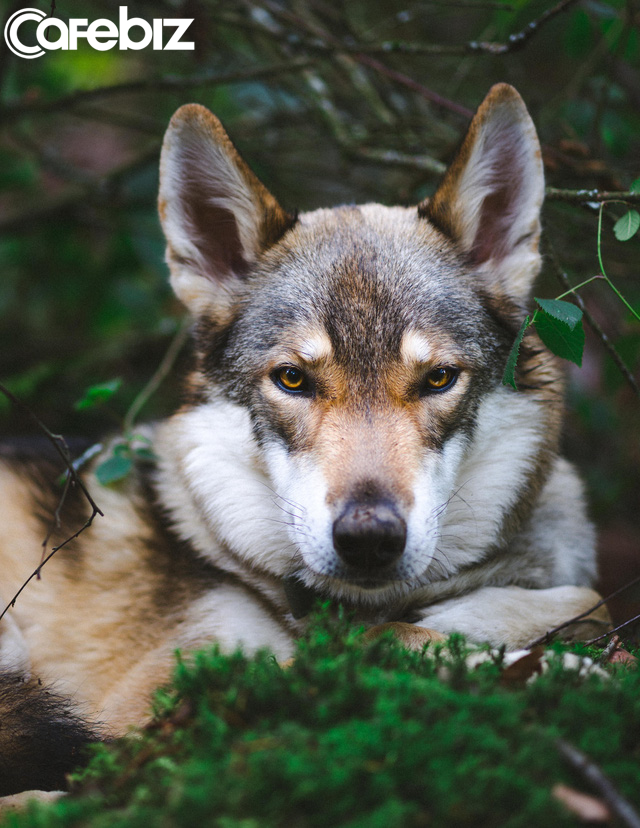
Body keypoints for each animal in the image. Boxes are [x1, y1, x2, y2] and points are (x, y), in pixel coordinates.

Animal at [0, 84, 608, 796]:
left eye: (438, 379)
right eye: (293, 379)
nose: (368, 538)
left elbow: (574, 599)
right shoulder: (161, 695)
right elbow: (382, 644)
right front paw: (549, 669)